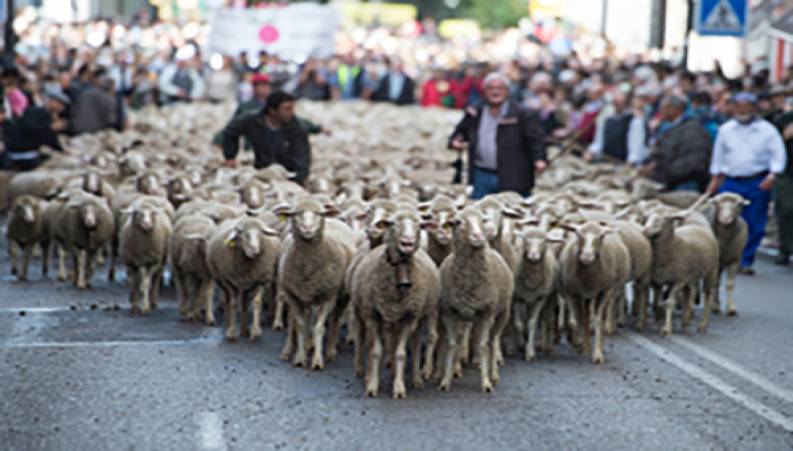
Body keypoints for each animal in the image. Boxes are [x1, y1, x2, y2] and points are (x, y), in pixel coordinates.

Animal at [276, 198, 354, 370]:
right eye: (296, 213)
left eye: (319, 214)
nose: (307, 228)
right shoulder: (294, 296)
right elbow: (300, 325)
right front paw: (300, 358)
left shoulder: (327, 297)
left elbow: (319, 328)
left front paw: (317, 361)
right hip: (301, 295)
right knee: (295, 322)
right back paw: (292, 349)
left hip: (340, 297)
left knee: (335, 321)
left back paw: (330, 351)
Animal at [352, 208, 440, 400]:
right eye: (392, 224)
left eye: (419, 224)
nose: (407, 242)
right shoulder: (373, 315)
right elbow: (376, 351)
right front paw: (372, 385)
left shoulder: (409, 317)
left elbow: (401, 353)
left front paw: (399, 387)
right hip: (365, 312)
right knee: (364, 338)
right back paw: (366, 370)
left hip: (419, 316)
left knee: (415, 345)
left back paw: (415, 378)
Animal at [436, 207, 510, 392]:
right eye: (457, 222)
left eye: (483, 220)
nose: (478, 237)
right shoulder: (450, 313)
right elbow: (452, 344)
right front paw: (446, 380)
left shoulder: (486, 314)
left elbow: (483, 347)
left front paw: (486, 383)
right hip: (468, 317)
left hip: (502, 314)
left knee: (492, 342)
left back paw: (493, 374)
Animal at [556, 221, 632, 366]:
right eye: (578, 234)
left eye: (601, 236)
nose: (586, 257)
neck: (588, 279)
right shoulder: (572, 293)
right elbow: (574, 321)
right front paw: (576, 341)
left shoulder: (602, 292)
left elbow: (597, 320)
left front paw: (597, 354)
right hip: (585, 297)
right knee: (584, 317)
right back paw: (584, 344)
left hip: (607, 293)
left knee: (598, 317)